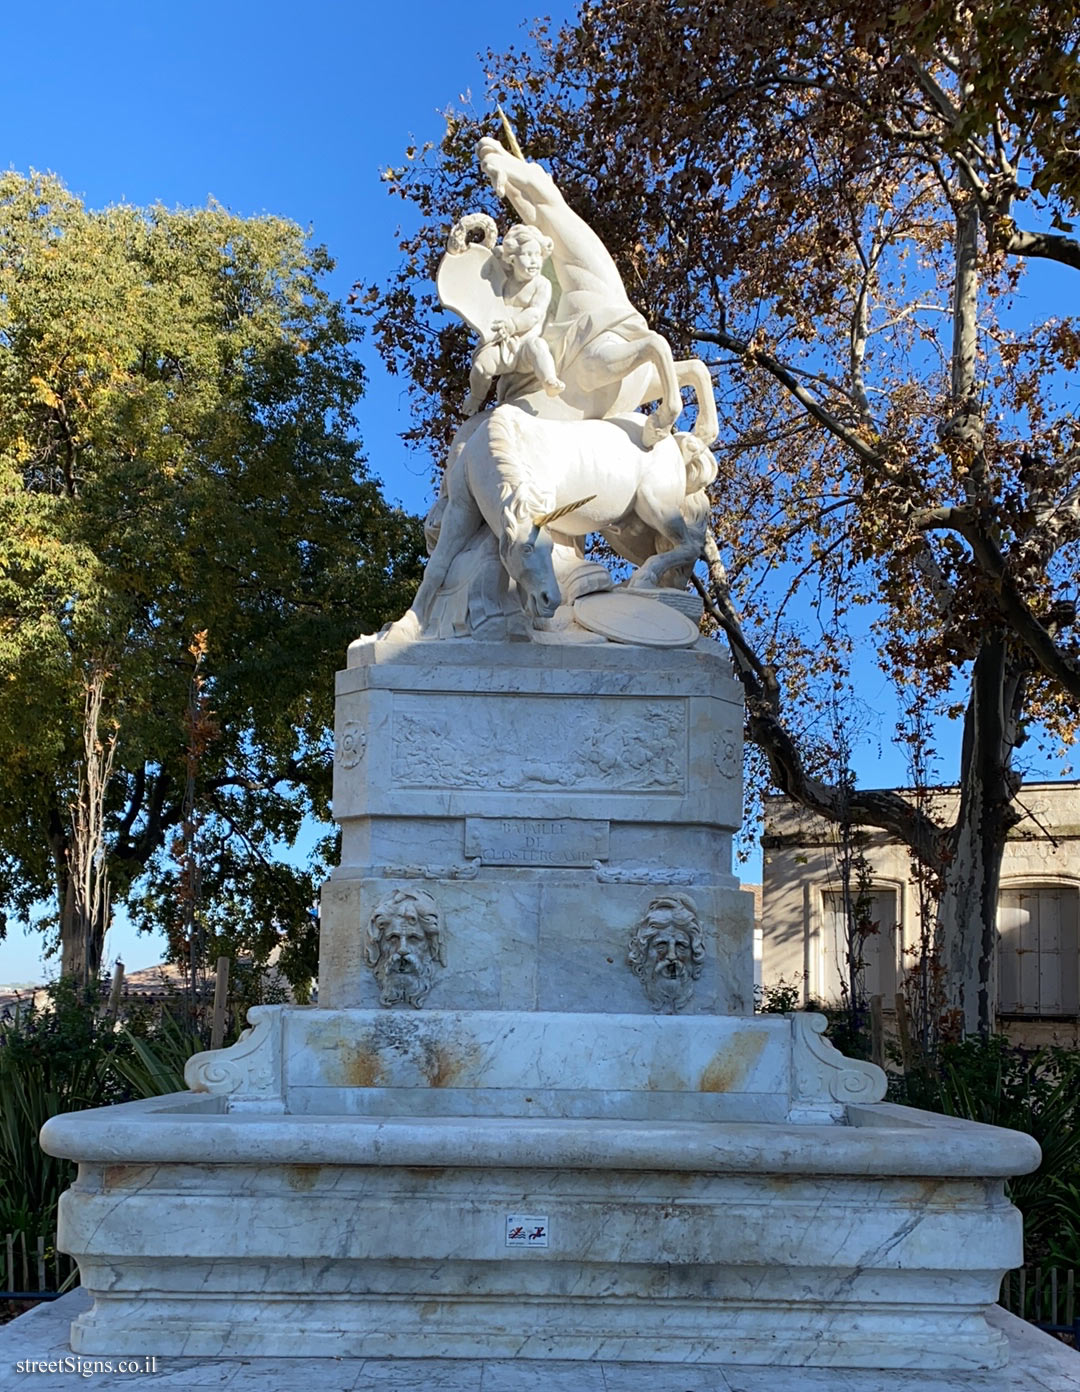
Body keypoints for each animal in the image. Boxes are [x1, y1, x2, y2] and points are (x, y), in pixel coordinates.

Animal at [384, 403, 723, 640]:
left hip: (656, 506)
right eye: (526, 550)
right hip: (629, 529)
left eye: (545, 550)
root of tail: (675, 443)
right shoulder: (462, 509)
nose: (550, 600)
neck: (492, 448)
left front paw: (531, 625)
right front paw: (405, 627)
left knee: (689, 545)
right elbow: (437, 566)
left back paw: (643, 578)